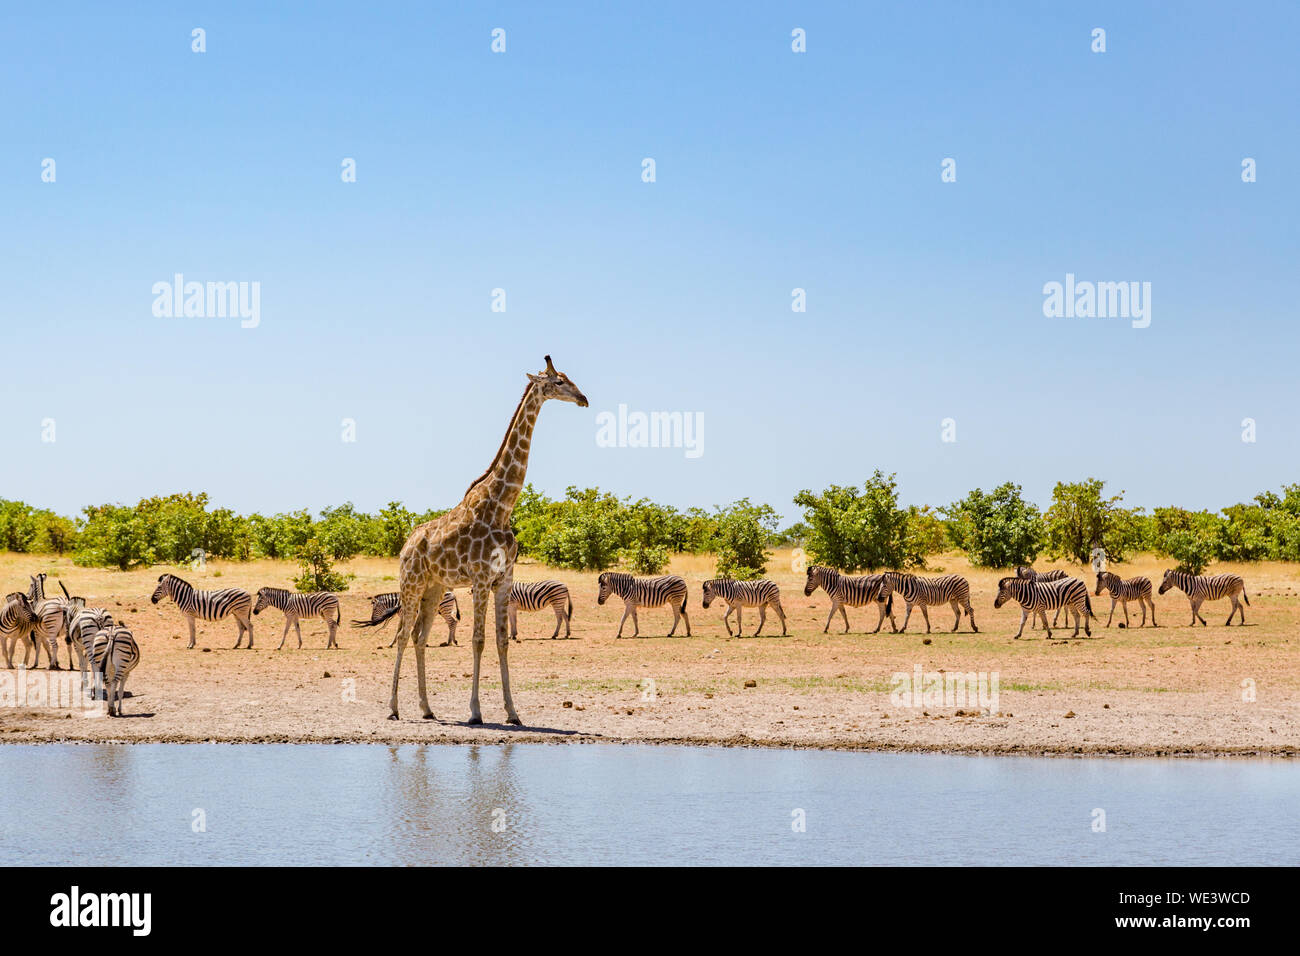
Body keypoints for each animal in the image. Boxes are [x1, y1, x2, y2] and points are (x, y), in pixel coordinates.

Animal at [388, 355, 588, 724]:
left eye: (569, 379)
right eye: (557, 381)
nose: (584, 399)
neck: (502, 507)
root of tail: (406, 545)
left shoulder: (504, 578)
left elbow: (502, 641)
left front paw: (513, 712)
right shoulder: (481, 580)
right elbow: (478, 640)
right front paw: (475, 711)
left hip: (435, 587)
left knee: (419, 637)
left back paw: (427, 708)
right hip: (411, 583)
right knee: (402, 635)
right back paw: (393, 708)